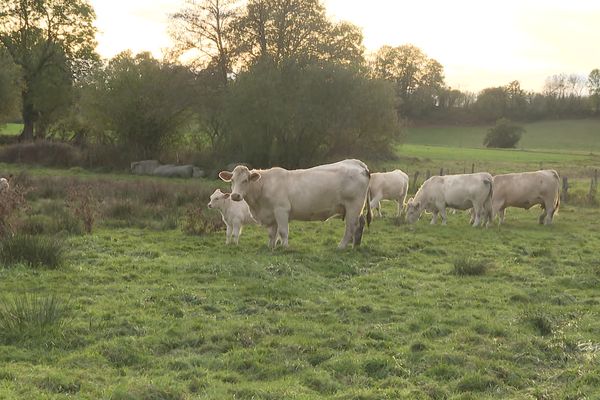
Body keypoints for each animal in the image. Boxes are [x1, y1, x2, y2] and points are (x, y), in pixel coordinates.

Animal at [218, 160, 372, 250]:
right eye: (232, 180)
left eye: (245, 180)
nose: (235, 196)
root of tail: (357, 163)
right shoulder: (271, 214)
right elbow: (272, 233)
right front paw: (270, 247)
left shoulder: (281, 210)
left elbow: (282, 232)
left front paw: (285, 247)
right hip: (357, 208)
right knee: (360, 223)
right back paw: (356, 245)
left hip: (353, 206)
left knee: (350, 227)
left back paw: (341, 246)